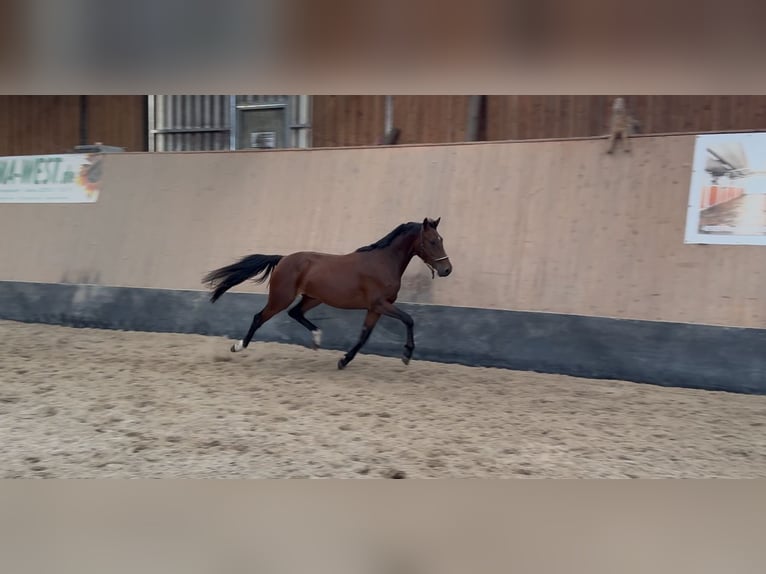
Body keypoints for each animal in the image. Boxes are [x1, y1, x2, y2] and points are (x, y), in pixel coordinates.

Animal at [204, 218, 456, 372]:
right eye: (432, 241)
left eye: (441, 240)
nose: (447, 270)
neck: (383, 262)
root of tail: (284, 258)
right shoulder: (380, 304)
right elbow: (409, 319)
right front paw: (406, 354)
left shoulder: (374, 309)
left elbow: (364, 336)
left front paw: (343, 361)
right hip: (281, 297)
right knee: (259, 317)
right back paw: (238, 347)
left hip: (313, 298)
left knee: (295, 313)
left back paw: (317, 339)